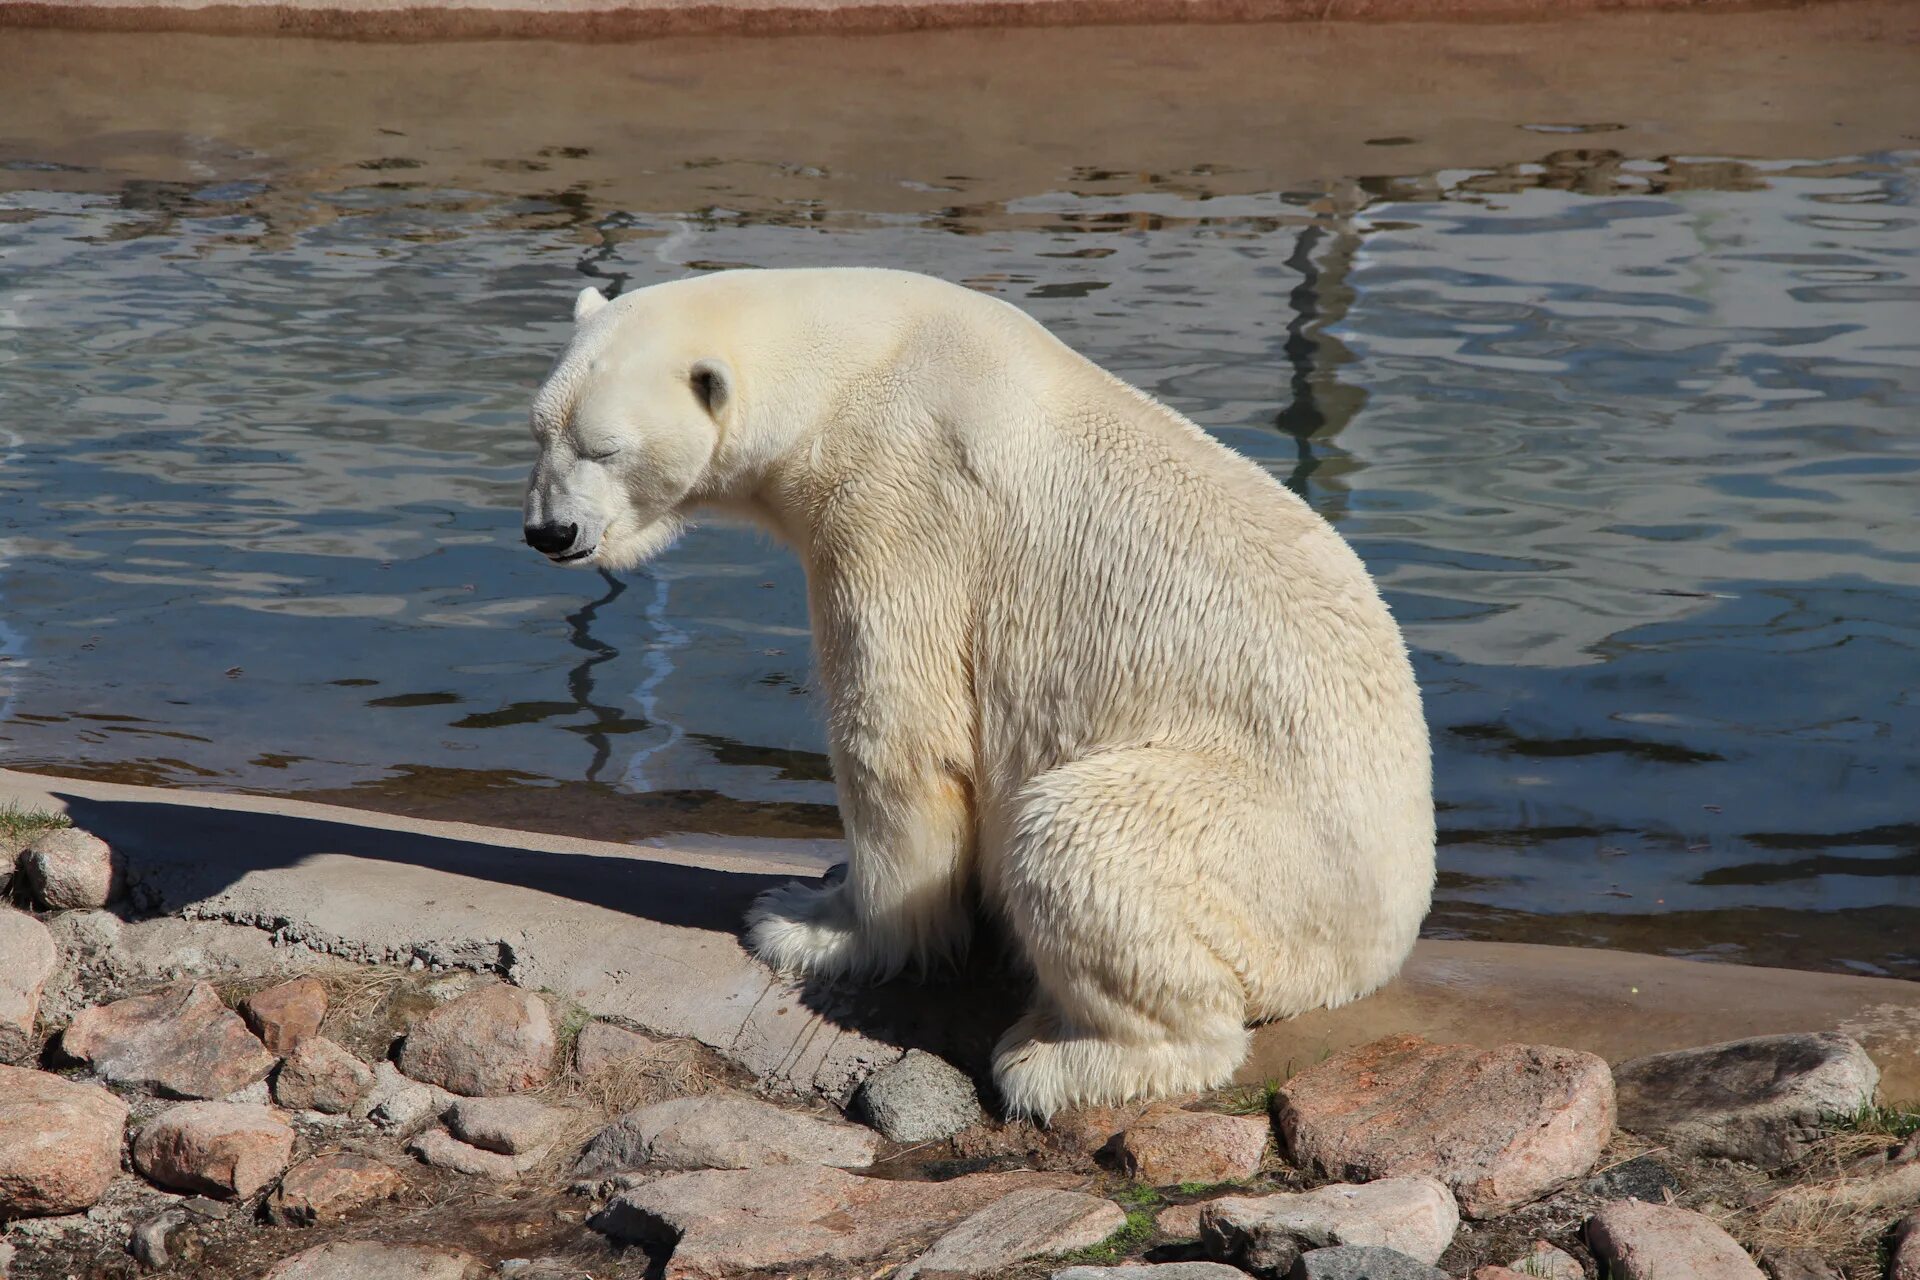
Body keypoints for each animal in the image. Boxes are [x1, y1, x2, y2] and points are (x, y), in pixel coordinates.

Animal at [518, 270, 1436, 1120]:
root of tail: (1385, 936)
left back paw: (1059, 1059)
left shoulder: (900, 502)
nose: (549, 532)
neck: (851, 363)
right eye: (539, 430)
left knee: (1078, 839)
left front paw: (810, 923)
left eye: (606, 448)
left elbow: (899, 736)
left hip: (1265, 854)